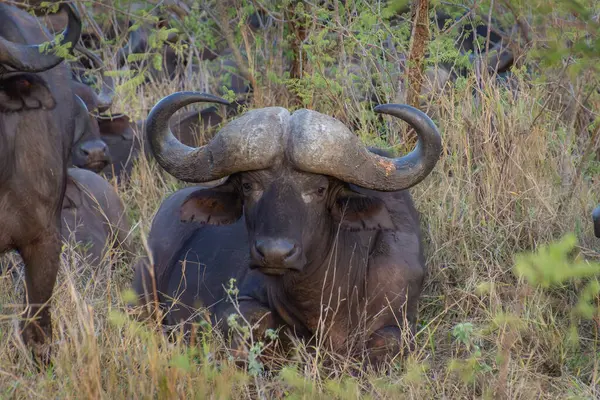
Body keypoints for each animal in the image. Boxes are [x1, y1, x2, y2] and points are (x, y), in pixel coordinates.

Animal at [136, 92, 442, 368]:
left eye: (319, 189)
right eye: (248, 185)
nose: (275, 254)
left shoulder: (400, 319)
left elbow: (389, 340)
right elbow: (257, 319)